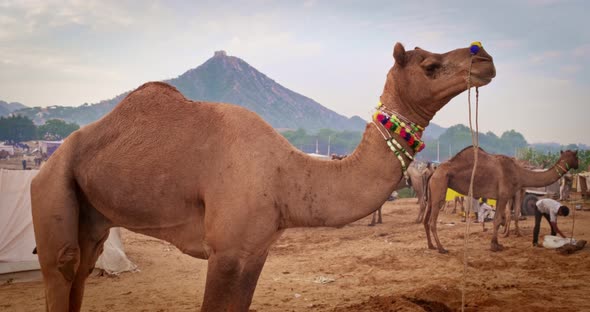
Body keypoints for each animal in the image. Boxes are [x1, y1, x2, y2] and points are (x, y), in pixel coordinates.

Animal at [30, 42, 498, 312]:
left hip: (92, 213)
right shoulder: (225, 252)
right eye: (430, 65)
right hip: (51, 182)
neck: (289, 173)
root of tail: (47, 160)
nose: (484, 57)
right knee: (62, 264)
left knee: (84, 265)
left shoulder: (254, 251)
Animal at [424, 147, 580, 254]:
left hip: (433, 190)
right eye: (576, 156)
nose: (578, 164)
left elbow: (497, 219)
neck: (519, 173)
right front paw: (495, 246)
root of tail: (434, 171)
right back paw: (441, 248)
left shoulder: (500, 197)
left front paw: (497, 243)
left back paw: (431, 246)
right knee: (432, 220)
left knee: (426, 218)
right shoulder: (505, 195)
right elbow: (498, 219)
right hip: (440, 184)